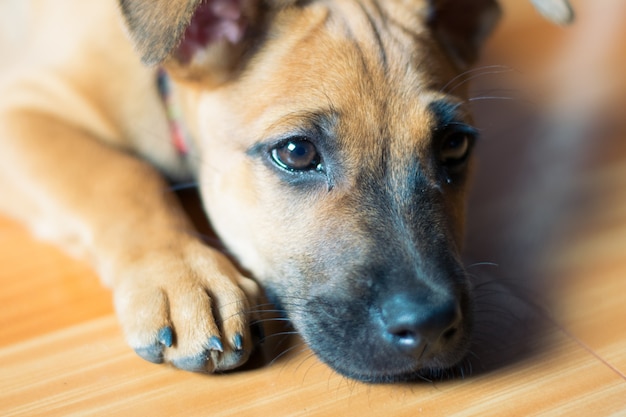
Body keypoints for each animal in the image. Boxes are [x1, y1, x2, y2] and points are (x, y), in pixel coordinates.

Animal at [0, 0, 572, 382]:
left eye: (454, 146)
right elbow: (122, 176)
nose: (430, 327)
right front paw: (182, 279)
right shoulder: (23, 109)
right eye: (296, 152)